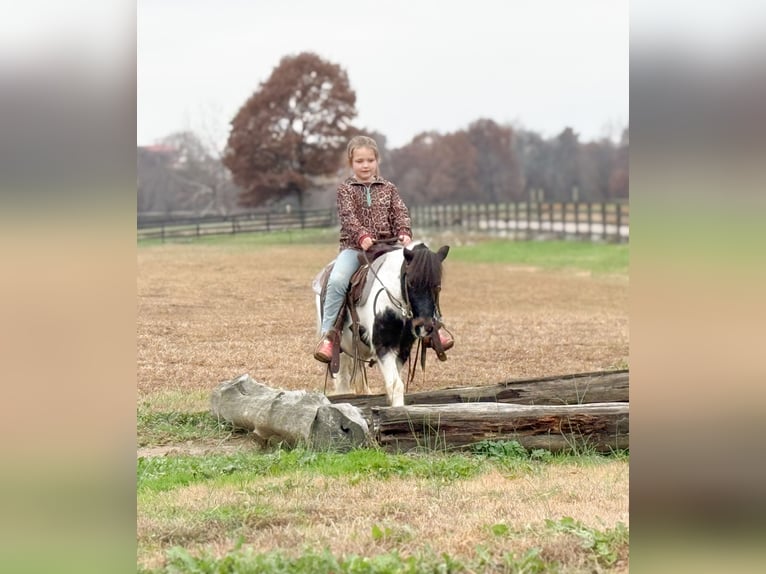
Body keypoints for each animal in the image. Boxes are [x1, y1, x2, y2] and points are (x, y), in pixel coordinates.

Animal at [314, 241, 449, 407]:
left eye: (437, 286)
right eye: (411, 283)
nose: (425, 326)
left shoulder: (402, 349)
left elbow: (394, 383)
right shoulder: (384, 346)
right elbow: (396, 385)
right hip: (340, 350)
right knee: (342, 380)